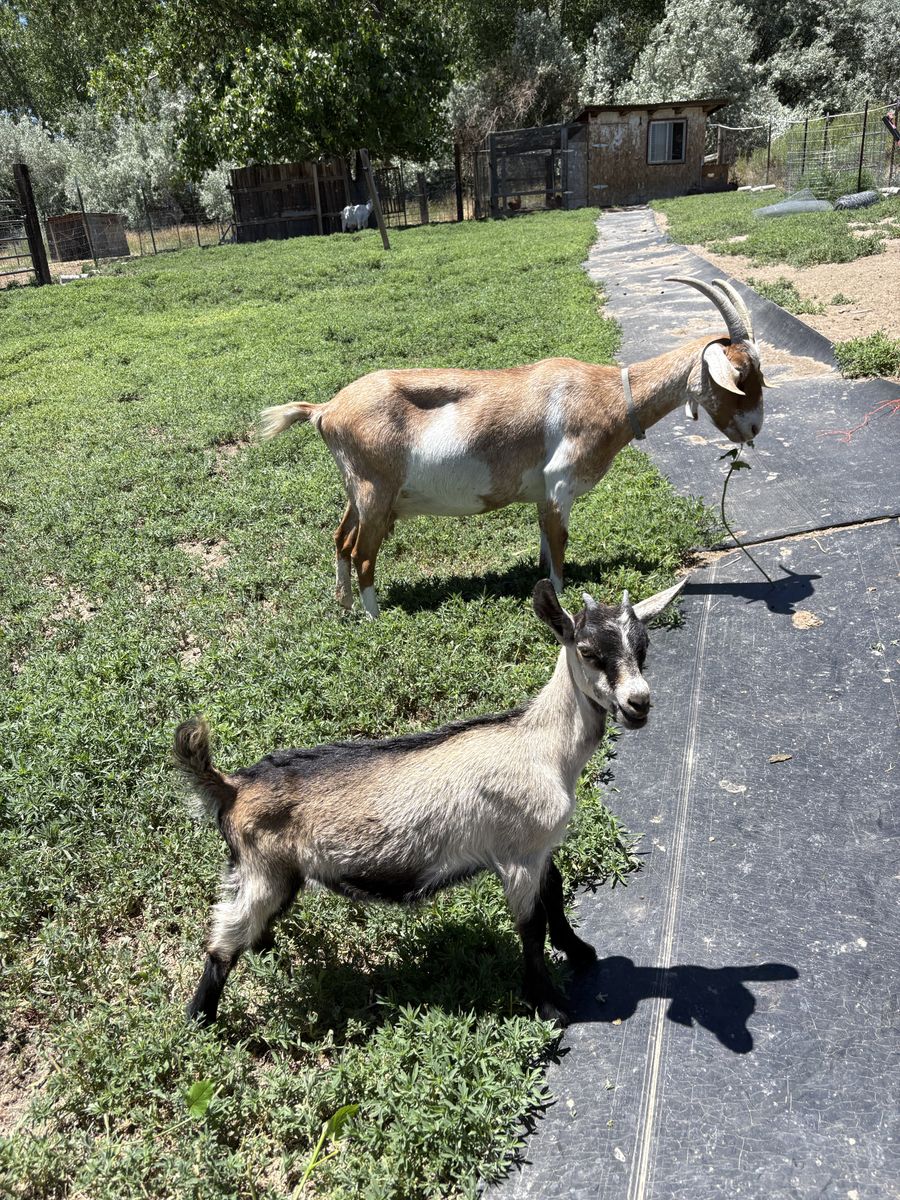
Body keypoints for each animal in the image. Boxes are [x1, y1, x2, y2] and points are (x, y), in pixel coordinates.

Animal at [177, 577, 685, 1028]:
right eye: (588, 651)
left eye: (643, 649)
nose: (638, 704)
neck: (541, 747)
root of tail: (232, 784)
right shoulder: (519, 856)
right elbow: (532, 925)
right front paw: (549, 1005)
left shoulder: (540, 849)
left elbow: (556, 895)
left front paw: (581, 952)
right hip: (262, 870)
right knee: (222, 939)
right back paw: (200, 1020)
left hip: (270, 872)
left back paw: (264, 951)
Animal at [258, 277, 769, 619]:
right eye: (741, 375)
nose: (755, 427)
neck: (608, 395)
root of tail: (326, 409)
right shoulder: (561, 484)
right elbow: (560, 544)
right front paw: (561, 598)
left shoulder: (543, 493)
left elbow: (544, 541)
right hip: (375, 490)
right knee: (363, 553)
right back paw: (375, 618)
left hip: (358, 491)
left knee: (340, 540)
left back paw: (344, 607)